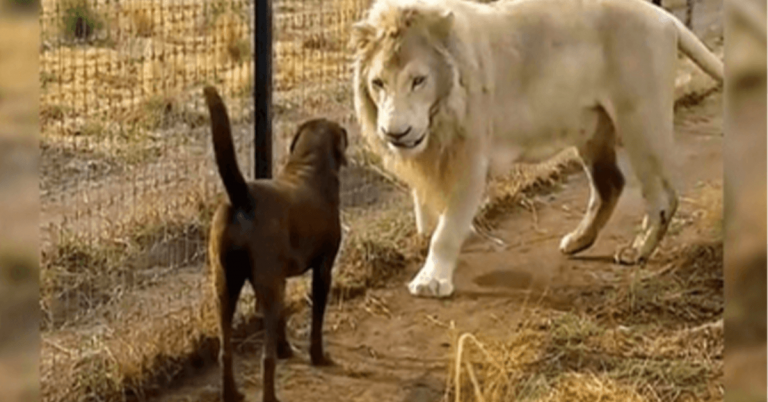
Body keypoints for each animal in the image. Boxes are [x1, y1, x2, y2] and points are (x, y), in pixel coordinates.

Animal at [204, 85, 348, 402]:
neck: (307, 166)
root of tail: (242, 196)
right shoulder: (323, 269)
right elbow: (316, 320)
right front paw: (318, 356)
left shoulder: (280, 278)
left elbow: (283, 317)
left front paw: (285, 348)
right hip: (266, 286)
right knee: (265, 359)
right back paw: (270, 395)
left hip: (225, 285)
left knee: (224, 350)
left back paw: (231, 393)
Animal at [352, 0, 724, 298]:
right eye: (378, 83)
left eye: (419, 80)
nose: (395, 133)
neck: (438, 118)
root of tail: (664, 16)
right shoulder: (429, 157)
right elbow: (426, 209)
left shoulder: (470, 157)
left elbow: (445, 230)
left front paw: (431, 281)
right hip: (592, 131)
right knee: (610, 185)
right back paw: (577, 241)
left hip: (640, 120)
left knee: (662, 196)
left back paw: (637, 252)